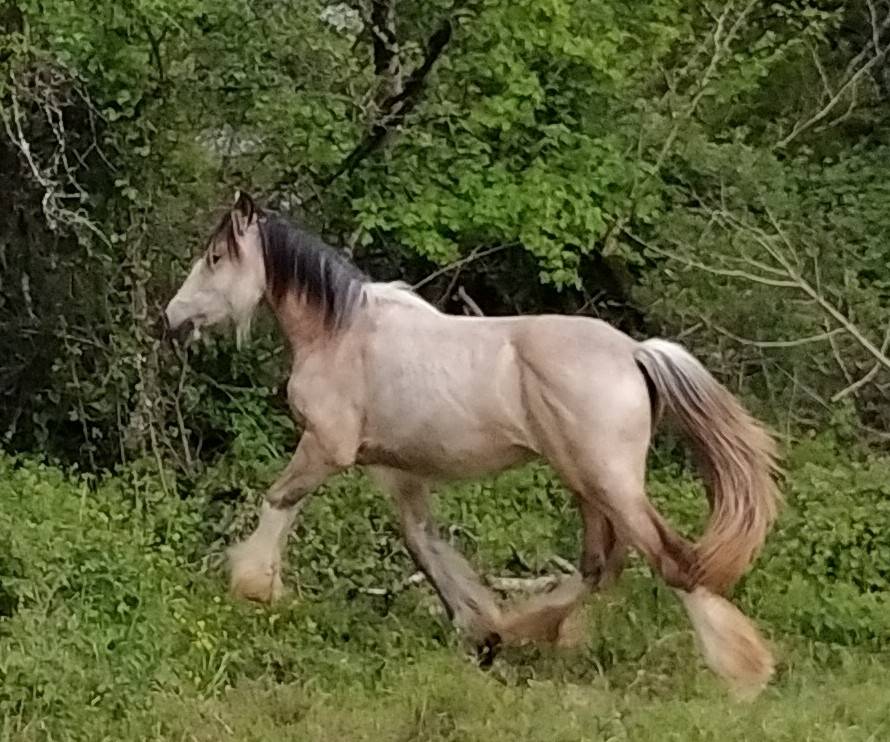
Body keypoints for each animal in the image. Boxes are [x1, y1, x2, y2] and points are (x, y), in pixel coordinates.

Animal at [164, 192, 780, 698]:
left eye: (215, 257)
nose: (172, 316)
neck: (342, 335)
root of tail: (634, 352)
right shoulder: (397, 470)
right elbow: (424, 543)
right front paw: (476, 627)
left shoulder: (326, 447)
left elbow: (280, 502)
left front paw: (253, 585)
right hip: (585, 483)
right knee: (598, 567)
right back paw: (522, 629)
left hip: (606, 480)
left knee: (669, 561)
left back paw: (741, 669)